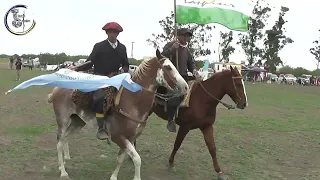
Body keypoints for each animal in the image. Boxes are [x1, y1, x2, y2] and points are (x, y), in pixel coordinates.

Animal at [46, 48, 189, 179]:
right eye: (168, 67)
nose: (186, 87)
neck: (132, 101)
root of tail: (57, 88)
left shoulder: (130, 138)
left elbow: (121, 158)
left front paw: (113, 177)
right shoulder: (118, 137)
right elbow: (137, 159)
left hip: (78, 121)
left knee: (65, 138)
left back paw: (64, 162)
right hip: (63, 120)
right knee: (59, 141)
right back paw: (63, 172)